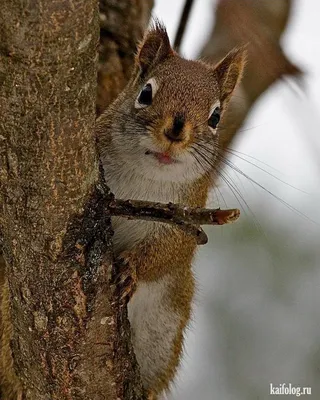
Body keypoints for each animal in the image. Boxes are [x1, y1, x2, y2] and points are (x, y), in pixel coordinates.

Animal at [96, 23, 246, 398]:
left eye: (216, 116)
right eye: (145, 93)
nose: (175, 132)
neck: (148, 176)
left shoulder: (186, 219)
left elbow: (166, 252)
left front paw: (132, 269)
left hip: (164, 333)